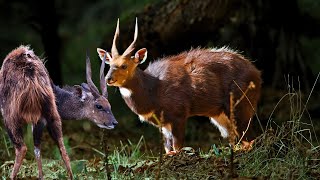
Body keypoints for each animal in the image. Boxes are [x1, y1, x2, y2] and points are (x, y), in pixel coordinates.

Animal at [96, 18, 262, 153]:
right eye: (109, 64)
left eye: (124, 65)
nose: (108, 78)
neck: (154, 91)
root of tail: (257, 73)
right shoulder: (163, 124)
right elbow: (168, 149)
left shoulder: (179, 113)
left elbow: (177, 147)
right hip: (219, 114)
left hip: (240, 103)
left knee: (249, 136)